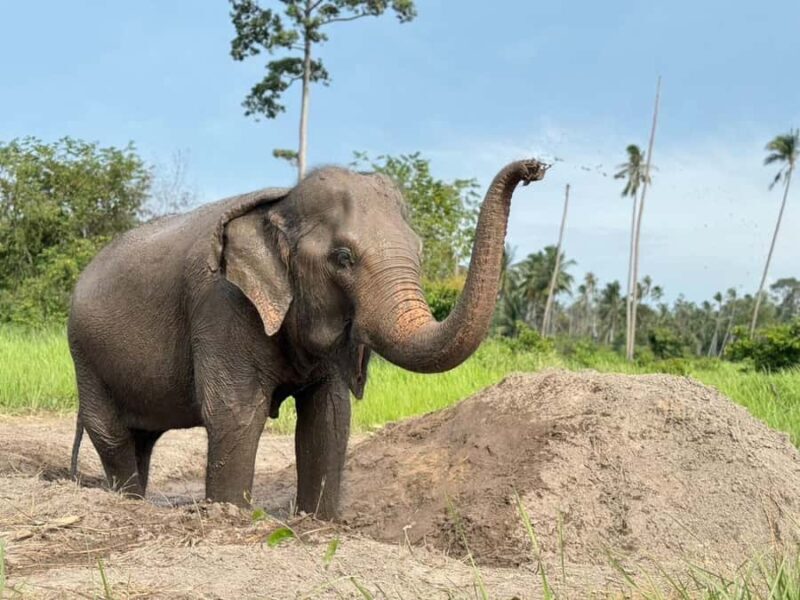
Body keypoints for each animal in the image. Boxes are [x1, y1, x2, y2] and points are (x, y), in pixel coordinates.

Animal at [67, 159, 547, 519]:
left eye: (420, 250)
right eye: (343, 257)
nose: (535, 169)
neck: (280, 205)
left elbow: (329, 418)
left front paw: (318, 522)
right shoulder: (222, 305)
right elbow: (236, 412)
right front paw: (231, 515)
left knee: (142, 438)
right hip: (84, 353)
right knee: (111, 433)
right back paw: (127, 502)